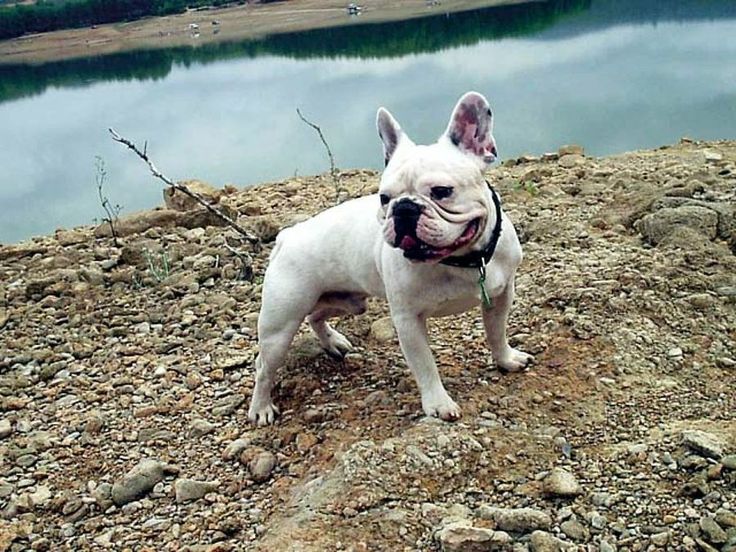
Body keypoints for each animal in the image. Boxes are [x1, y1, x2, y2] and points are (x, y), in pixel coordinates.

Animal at [247, 92, 528, 424]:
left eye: (442, 191)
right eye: (384, 198)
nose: (404, 208)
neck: (462, 260)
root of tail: (287, 236)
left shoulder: (501, 294)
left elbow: (497, 332)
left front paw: (505, 360)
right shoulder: (408, 320)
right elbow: (425, 365)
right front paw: (438, 404)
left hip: (348, 301)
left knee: (316, 317)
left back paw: (333, 342)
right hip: (280, 326)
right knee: (264, 368)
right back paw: (261, 408)